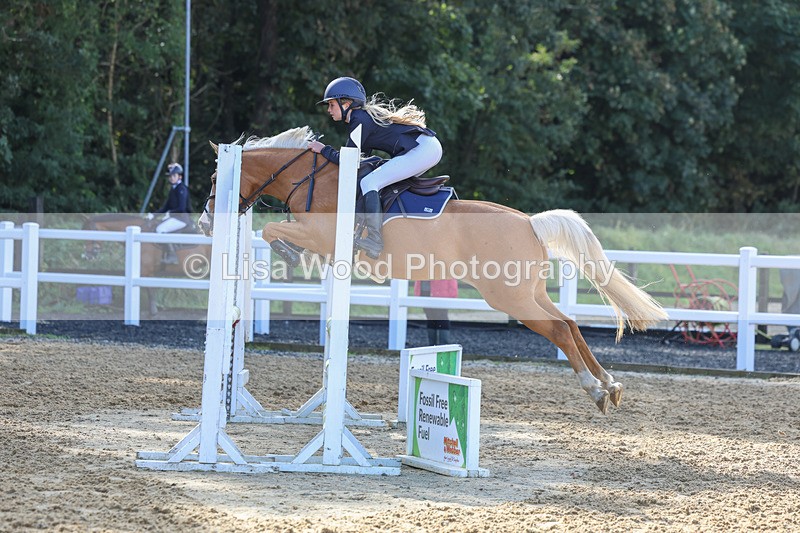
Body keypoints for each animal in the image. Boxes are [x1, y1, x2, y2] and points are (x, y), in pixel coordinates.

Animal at [199, 126, 668, 414]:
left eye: (217, 178)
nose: (205, 223)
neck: (311, 177)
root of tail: (530, 222)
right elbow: (274, 229)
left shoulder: (319, 234)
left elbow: (272, 228)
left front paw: (287, 252)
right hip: (528, 292)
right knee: (569, 323)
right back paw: (609, 384)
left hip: (508, 296)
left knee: (557, 330)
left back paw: (595, 389)